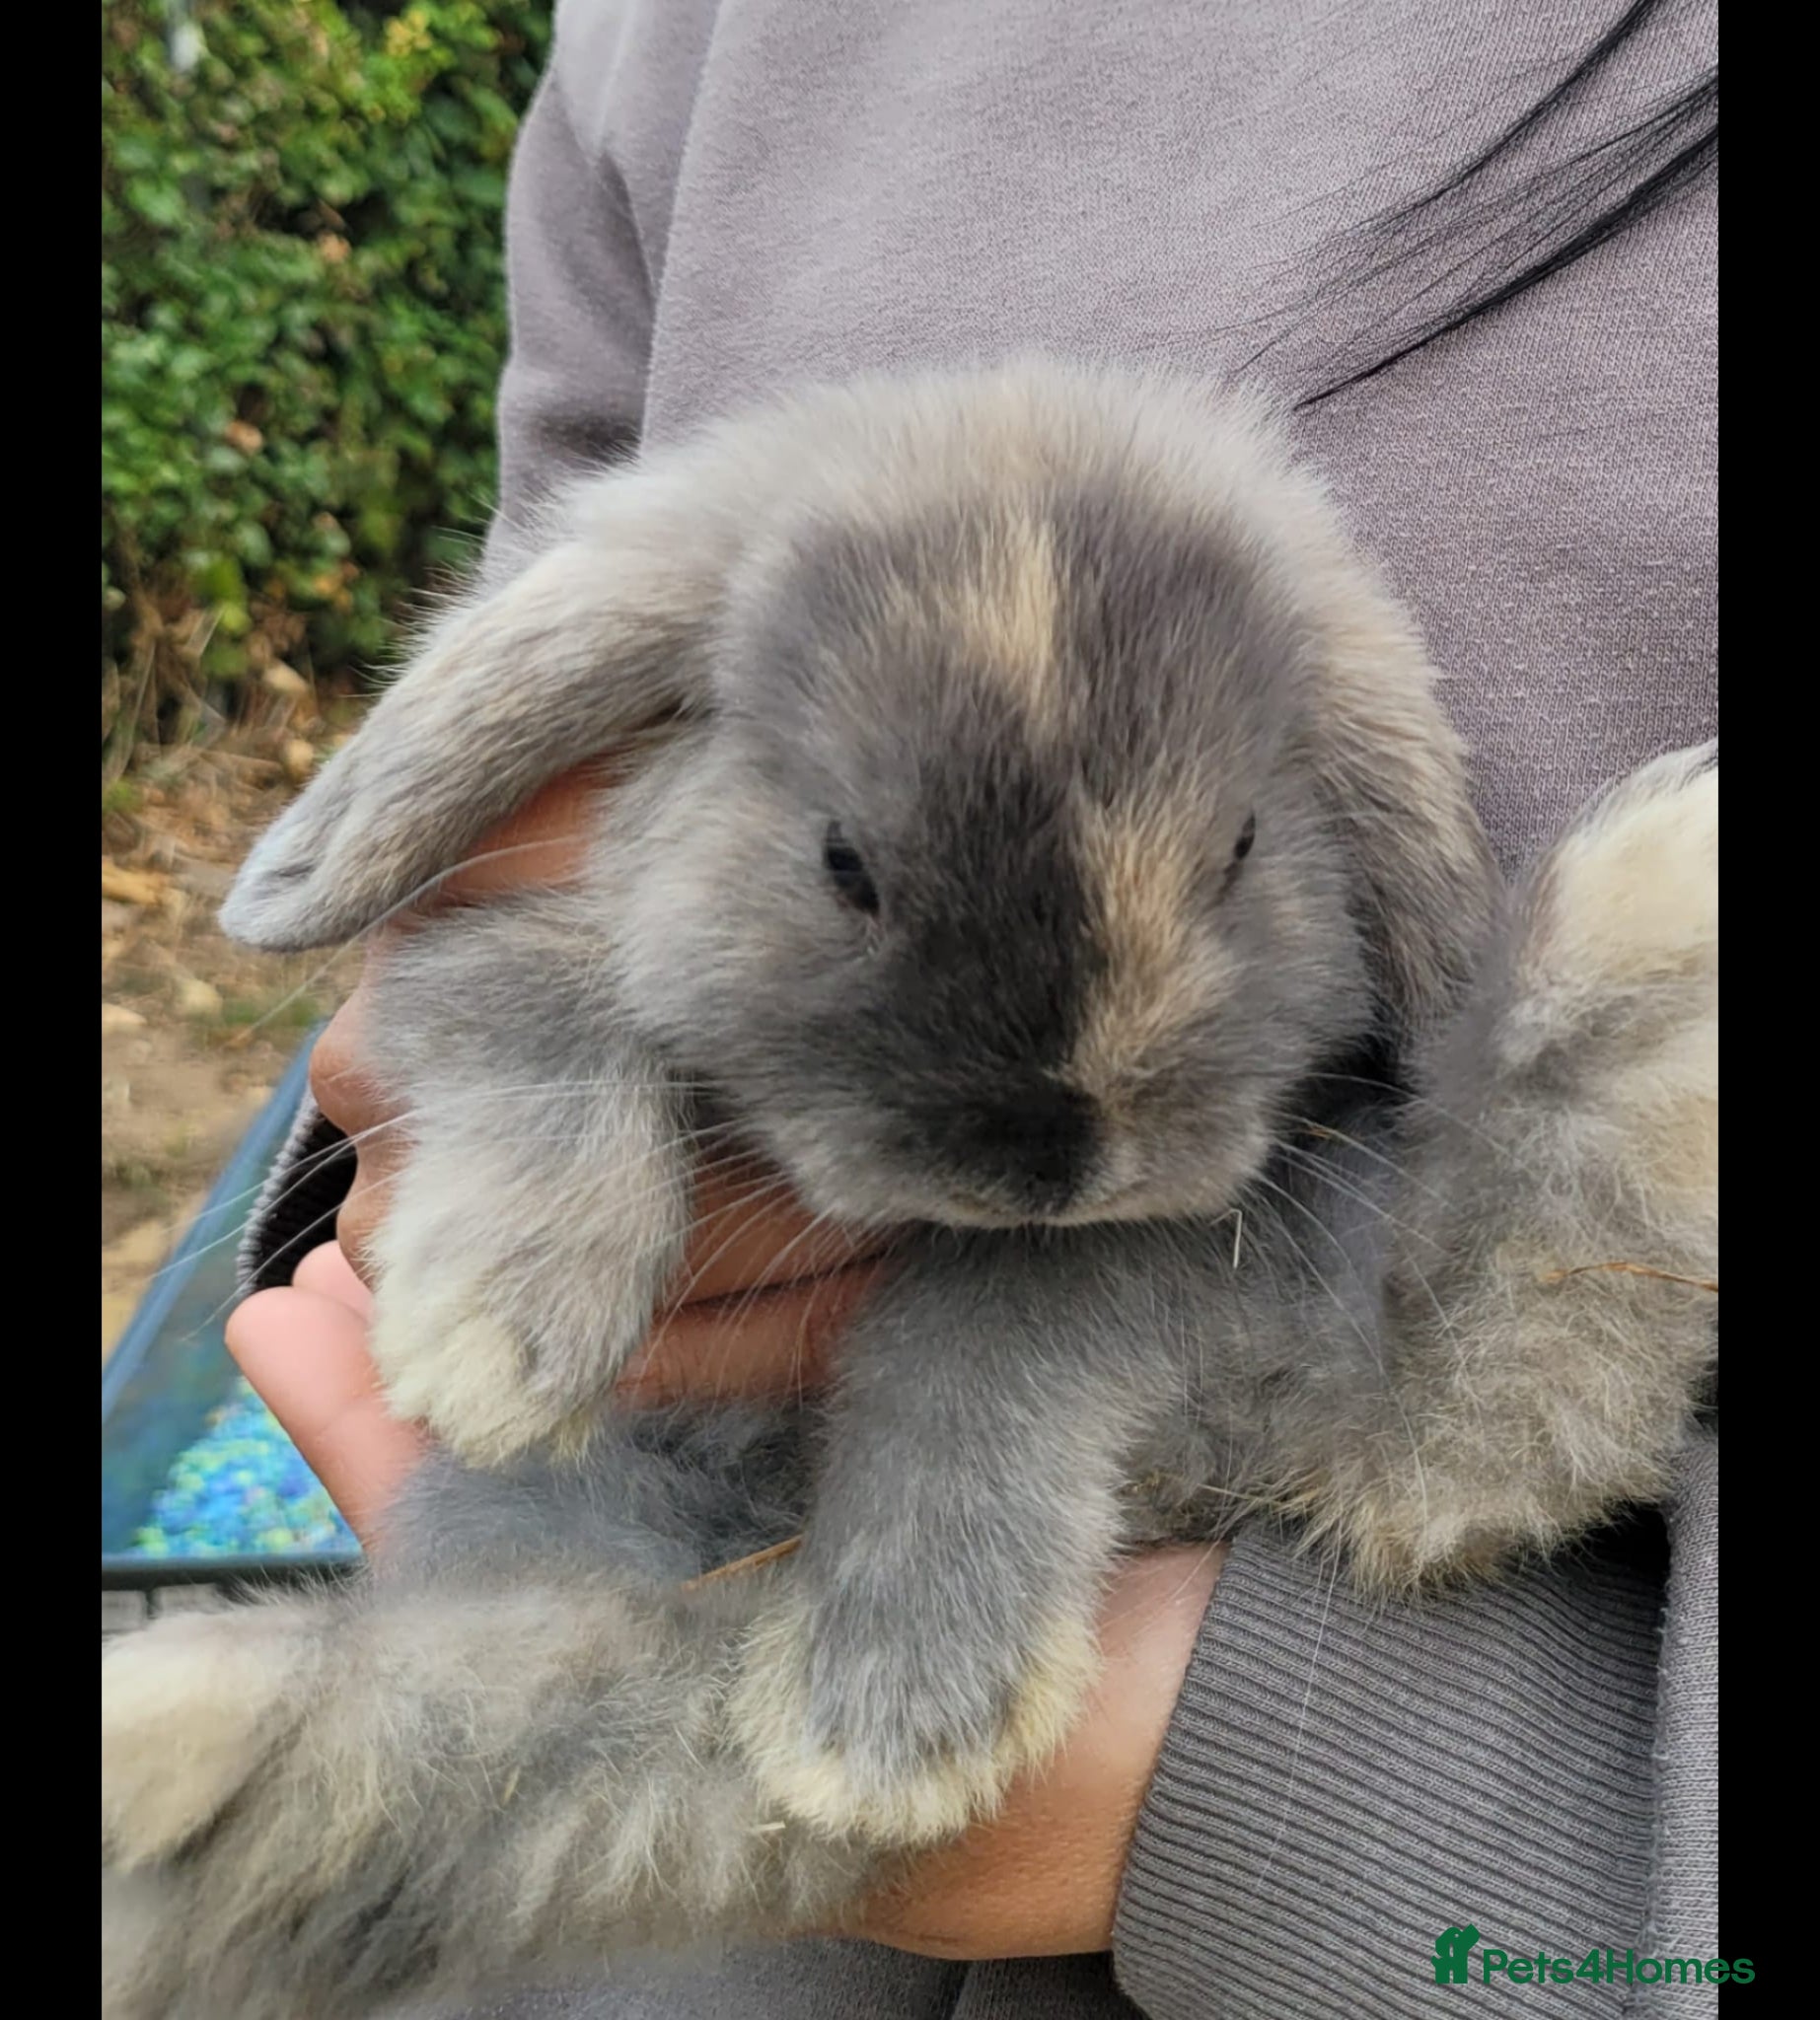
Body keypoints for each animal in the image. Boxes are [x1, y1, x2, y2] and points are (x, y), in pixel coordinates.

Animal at [101, 361, 1718, 2019]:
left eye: (1243, 847)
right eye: (842, 860)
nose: (1045, 1162)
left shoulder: (1182, 1237)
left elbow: (982, 1338)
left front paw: (898, 1705)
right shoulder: (470, 958)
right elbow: (540, 1014)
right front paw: (493, 1339)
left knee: (1498, 1408)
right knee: (501, 1764)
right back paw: (179, 1751)